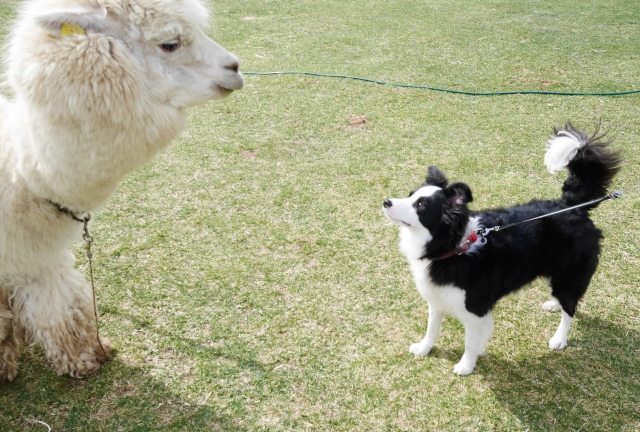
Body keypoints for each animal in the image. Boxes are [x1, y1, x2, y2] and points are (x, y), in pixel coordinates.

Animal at [382, 124, 624, 374]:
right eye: (410, 195)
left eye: (420, 205)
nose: (386, 202)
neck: (454, 247)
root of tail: (572, 207)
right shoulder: (437, 298)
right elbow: (432, 329)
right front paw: (423, 348)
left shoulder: (476, 309)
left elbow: (470, 342)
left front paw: (465, 366)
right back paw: (553, 304)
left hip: (569, 273)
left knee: (570, 308)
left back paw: (559, 338)